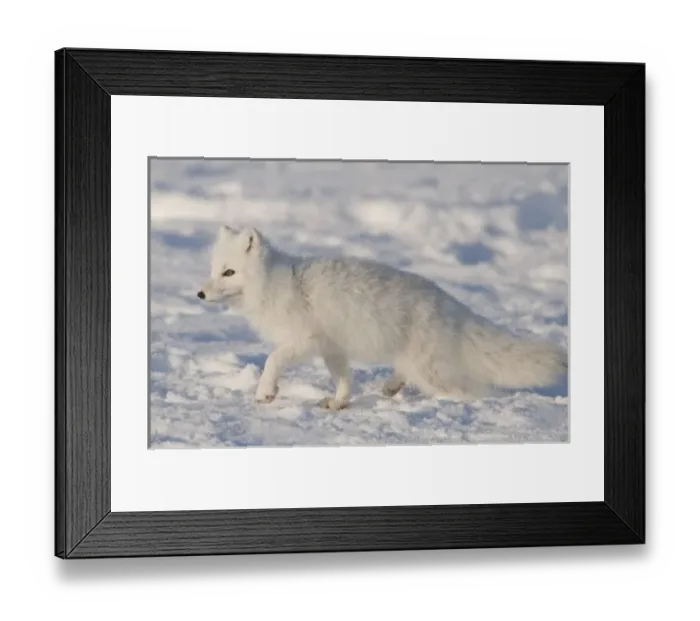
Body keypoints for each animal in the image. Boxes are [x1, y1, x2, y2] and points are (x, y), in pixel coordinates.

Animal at [197, 225, 567, 410]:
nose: (199, 294)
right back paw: (391, 387)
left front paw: (265, 392)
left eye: (229, 272)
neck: (278, 282)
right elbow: (343, 378)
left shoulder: (305, 339)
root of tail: (450, 303)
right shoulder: (333, 348)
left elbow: (272, 359)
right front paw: (339, 402)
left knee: (471, 392)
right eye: (213, 270)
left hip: (431, 371)